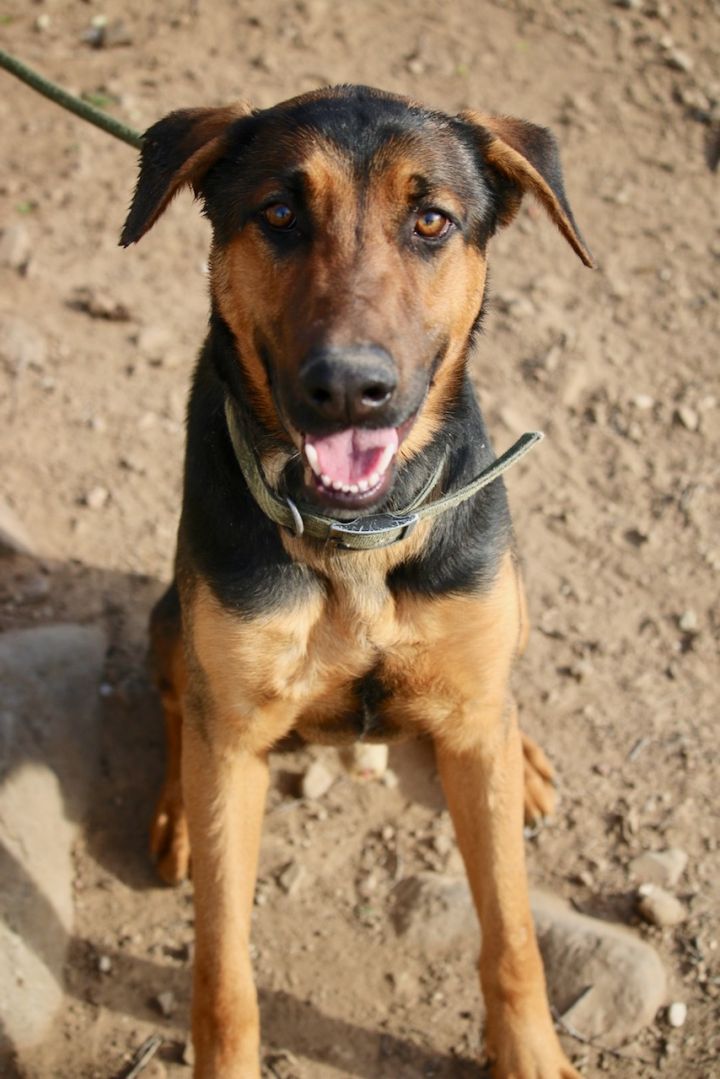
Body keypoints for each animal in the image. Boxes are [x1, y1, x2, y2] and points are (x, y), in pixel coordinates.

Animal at [122, 86, 591, 1079]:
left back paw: (522, 753)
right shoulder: (234, 737)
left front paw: (529, 1051)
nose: (348, 388)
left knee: (497, 699)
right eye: (278, 214)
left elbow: (513, 931)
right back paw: (175, 810)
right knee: (181, 706)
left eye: (431, 220)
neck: (357, 537)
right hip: (169, 622)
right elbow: (221, 966)